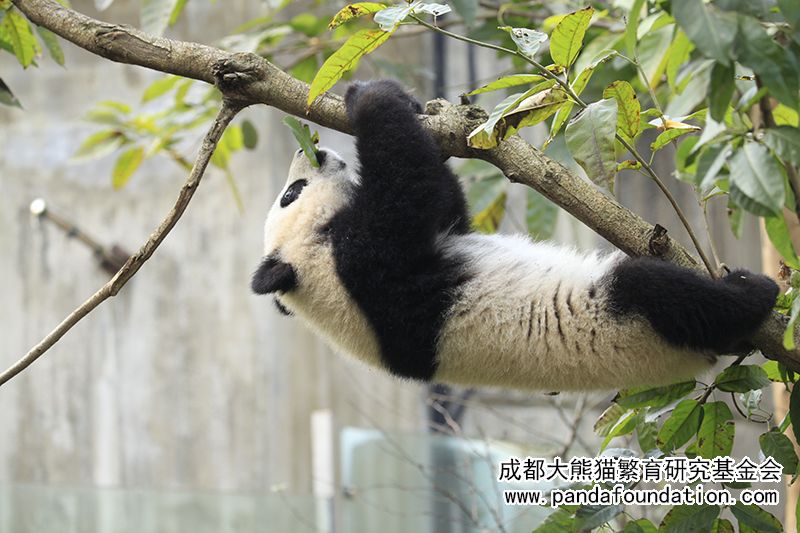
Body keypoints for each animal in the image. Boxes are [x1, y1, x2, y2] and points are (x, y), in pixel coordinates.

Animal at [251, 79, 779, 392]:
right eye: (291, 194)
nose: (313, 152)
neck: (313, 271)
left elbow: (446, 208)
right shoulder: (364, 267)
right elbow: (411, 190)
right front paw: (371, 97)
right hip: (636, 320)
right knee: (660, 293)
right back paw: (753, 293)